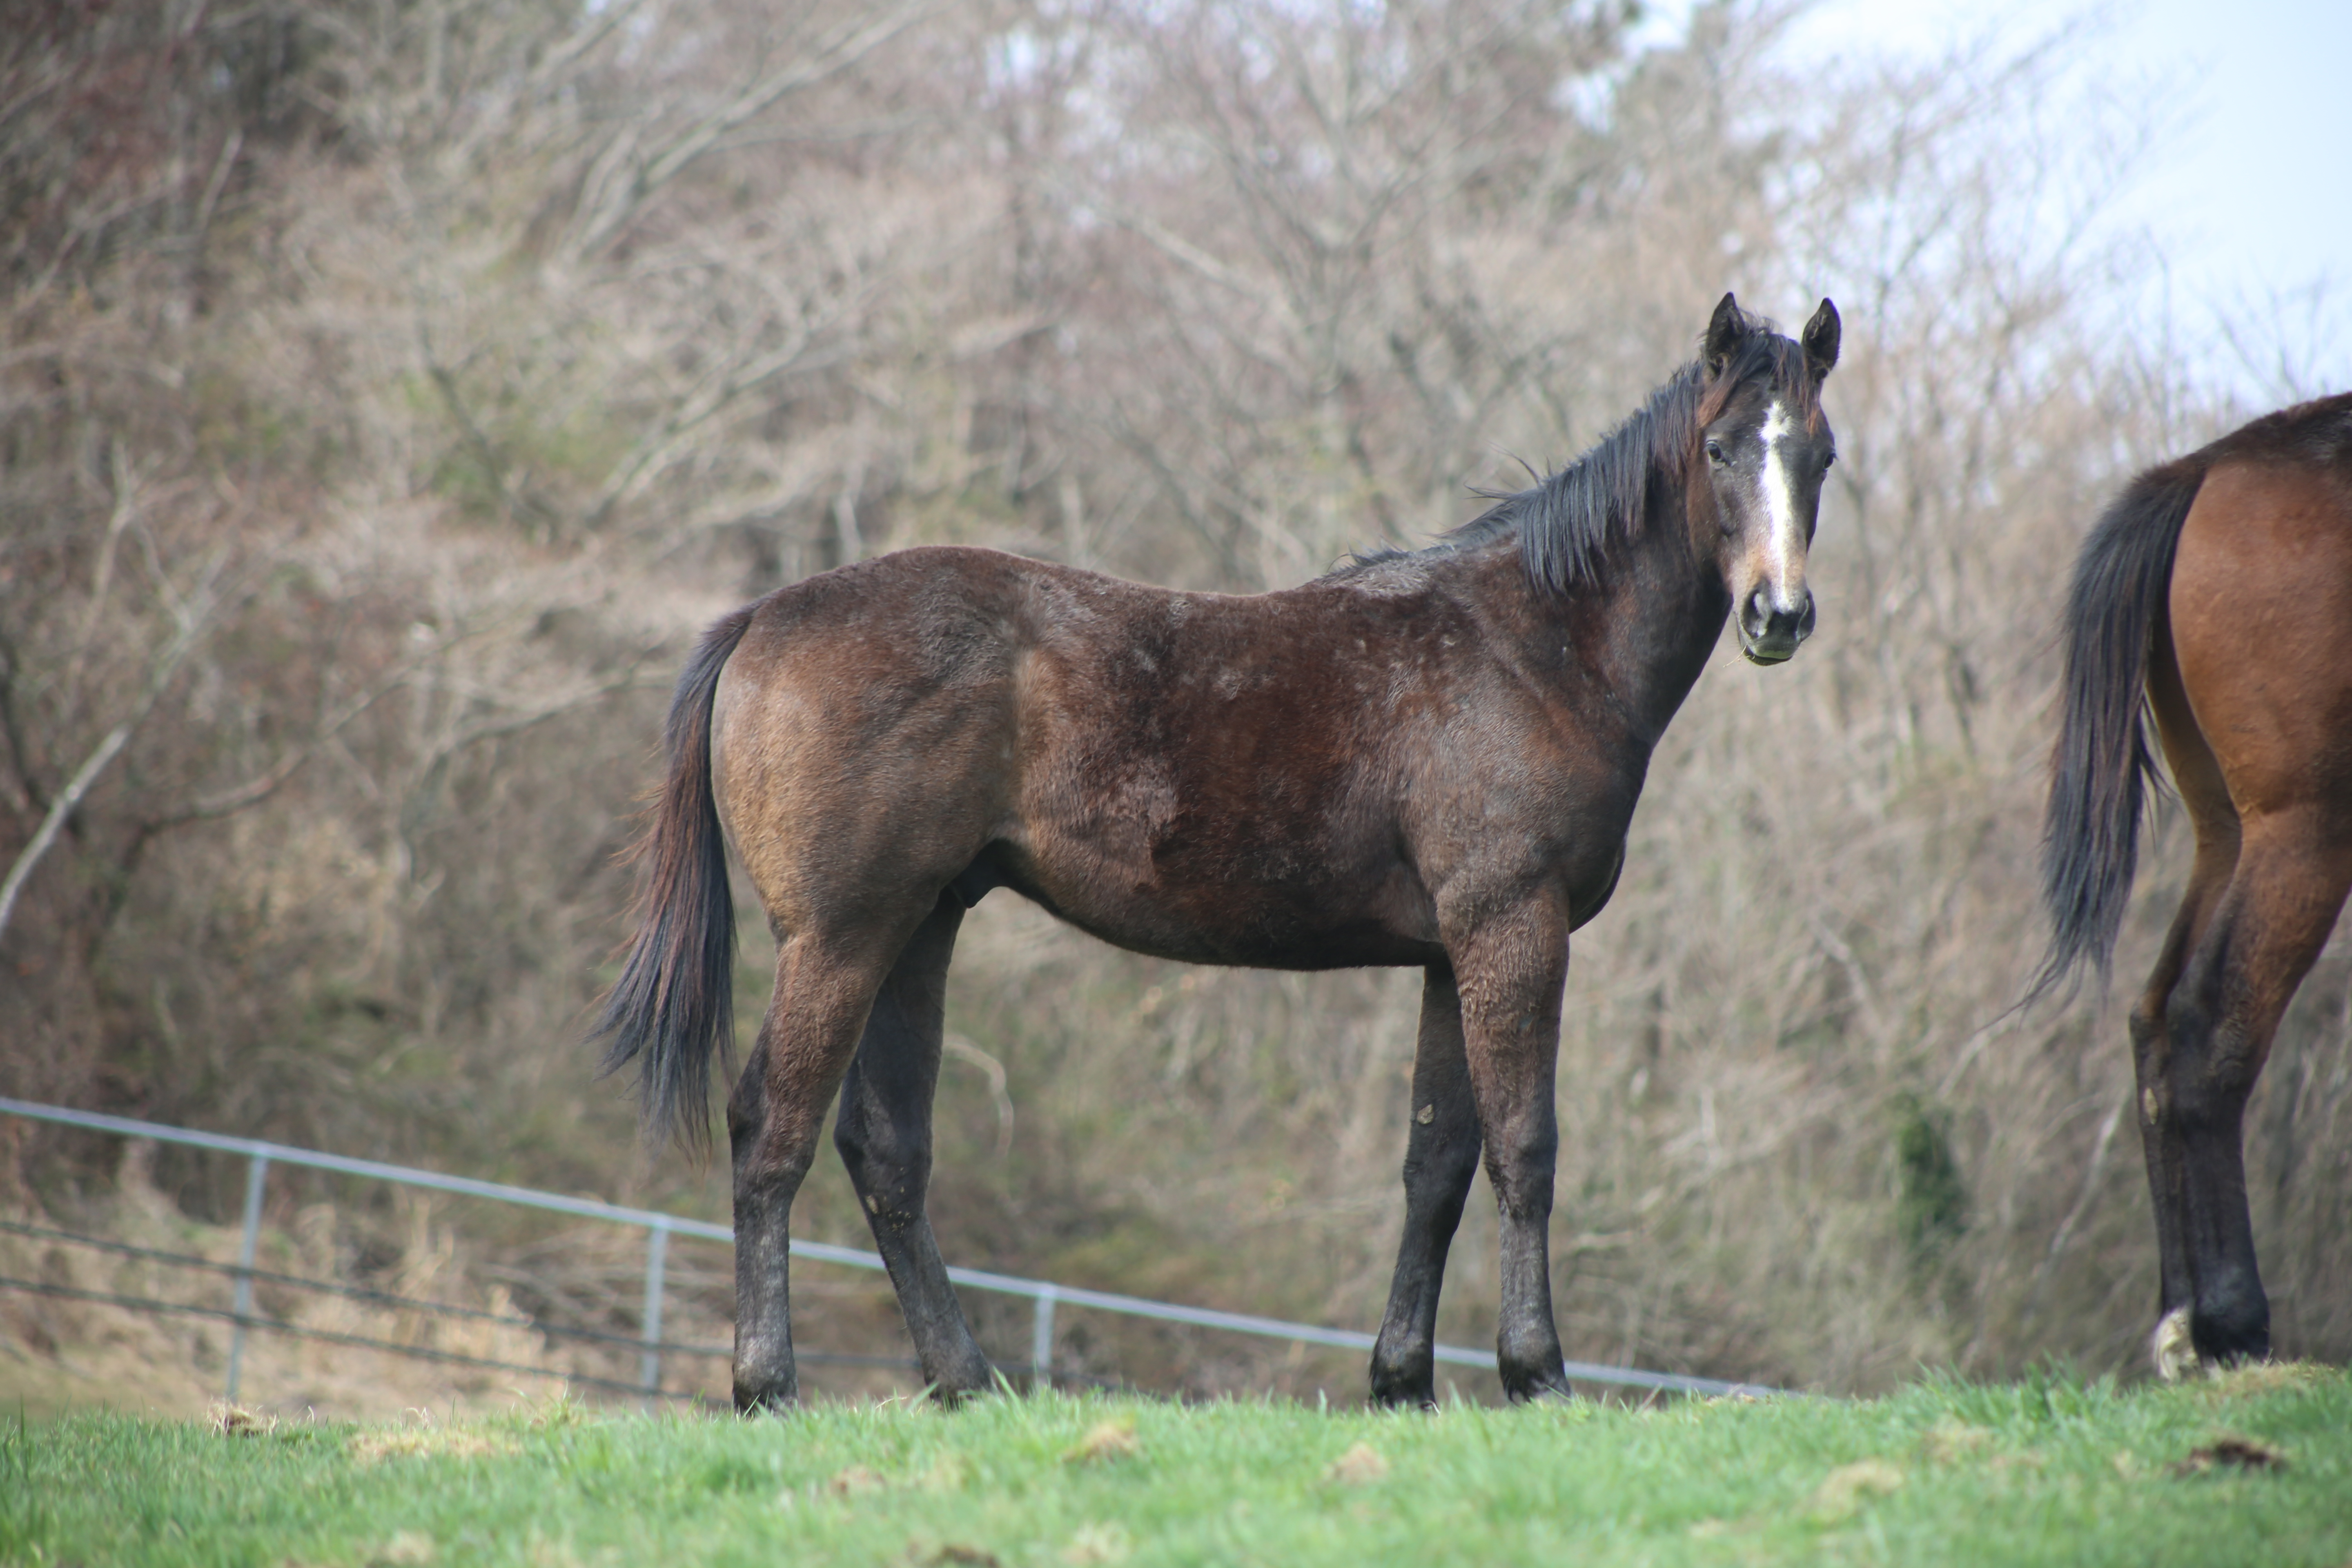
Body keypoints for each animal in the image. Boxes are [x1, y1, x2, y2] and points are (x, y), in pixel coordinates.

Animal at [597, 294, 1844, 1410]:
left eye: (1820, 455)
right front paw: (1534, 1372)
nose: (1779, 617)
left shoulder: (1451, 955)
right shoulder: (1512, 927)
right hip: (841, 938)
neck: (1530, 648)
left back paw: (966, 1380)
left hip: (920, 927)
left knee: (885, 1147)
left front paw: (1401, 1382)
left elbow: (1435, 1166)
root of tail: (763, 616)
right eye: (1721, 449)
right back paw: (768, 1385)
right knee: (773, 1129)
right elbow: (1522, 1148)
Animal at [2041, 390, 2352, 1373]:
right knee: (2211, 1026)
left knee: (2155, 1022)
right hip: (2305, 830)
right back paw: (2226, 1319)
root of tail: (2206, 467)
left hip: (2227, 833)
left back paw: (2182, 1315)